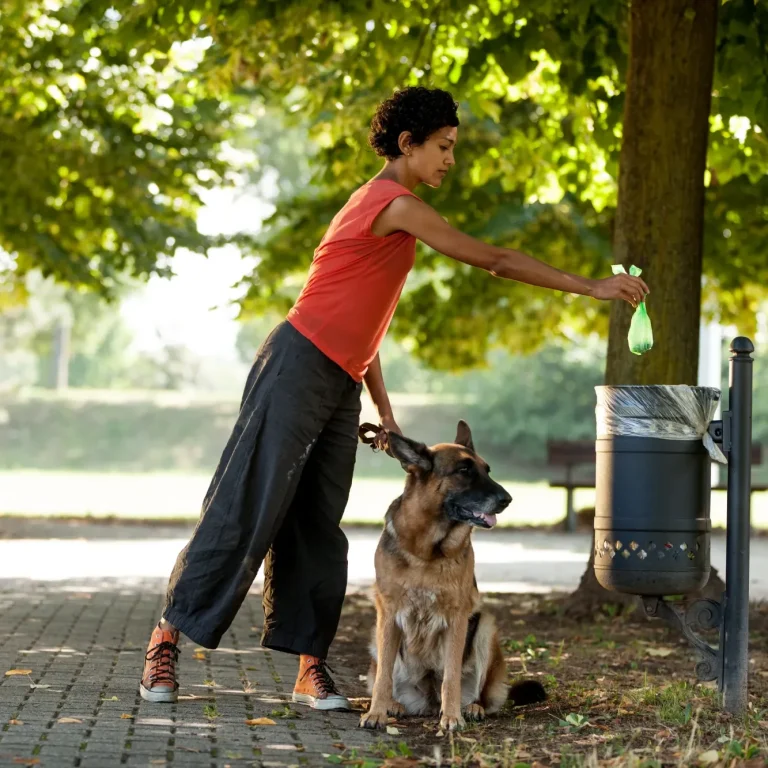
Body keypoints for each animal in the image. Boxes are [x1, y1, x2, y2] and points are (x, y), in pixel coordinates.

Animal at [360, 420, 544, 732]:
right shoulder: (388, 614)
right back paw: (394, 704)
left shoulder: (457, 618)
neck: (426, 552)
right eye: (464, 470)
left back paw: (471, 707)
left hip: (485, 627)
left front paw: (452, 717)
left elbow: (451, 677)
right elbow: (383, 676)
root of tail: (428, 700)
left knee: (476, 691)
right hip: (377, 634)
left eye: (487, 470)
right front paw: (376, 713)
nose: (507, 500)